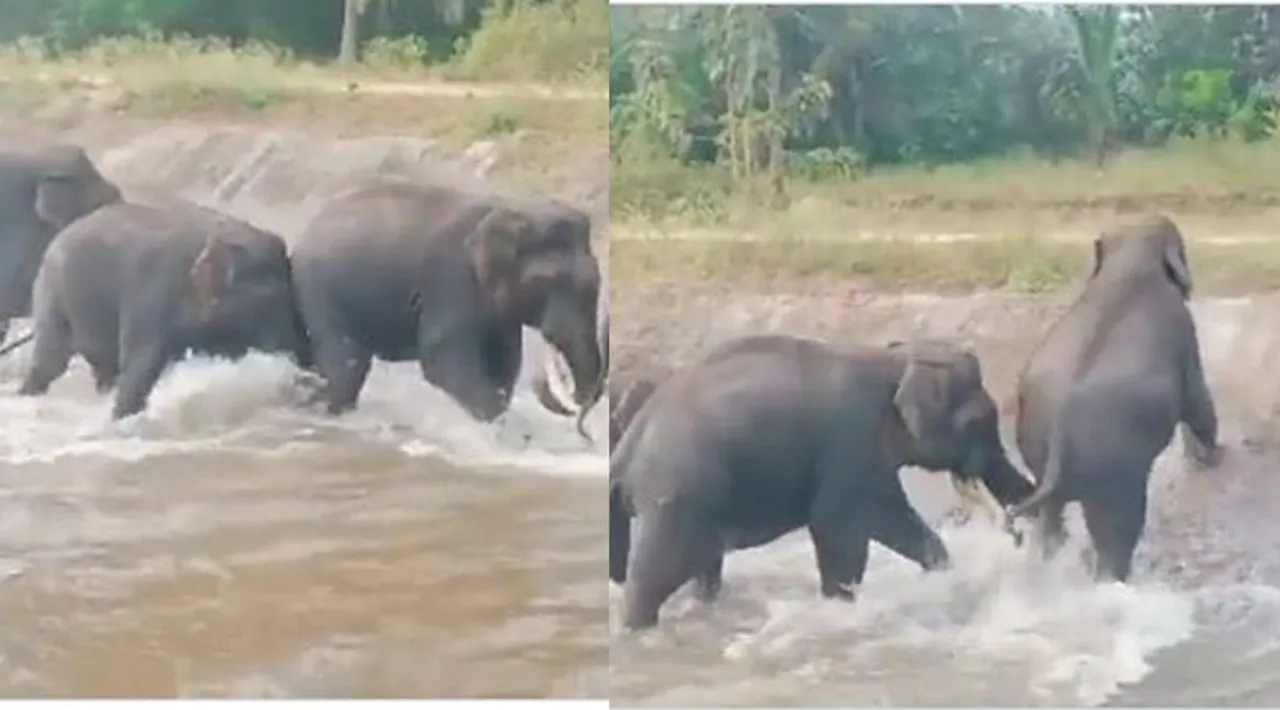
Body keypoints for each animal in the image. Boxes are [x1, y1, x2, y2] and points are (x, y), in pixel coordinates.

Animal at [293, 180, 606, 422]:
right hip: (320, 290)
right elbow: (442, 361)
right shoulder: (451, 277)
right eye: (547, 282)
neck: (507, 209)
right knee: (347, 366)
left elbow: (504, 362)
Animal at [604, 335, 1034, 631]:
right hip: (677, 499)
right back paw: (636, 629)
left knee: (705, 567)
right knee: (655, 577)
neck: (894, 357)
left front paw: (943, 574)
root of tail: (624, 455)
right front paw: (840, 606)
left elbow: (889, 521)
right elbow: (843, 527)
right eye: (981, 420)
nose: (1018, 536)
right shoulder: (850, 442)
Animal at [1008, 212, 1218, 583]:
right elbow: (1197, 399)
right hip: (1114, 472)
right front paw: (1214, 457)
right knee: (1117, 533)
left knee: (1050, 522)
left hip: (1035, 447)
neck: (1129, 261)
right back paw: (1115, 578)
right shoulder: (1183, 331)